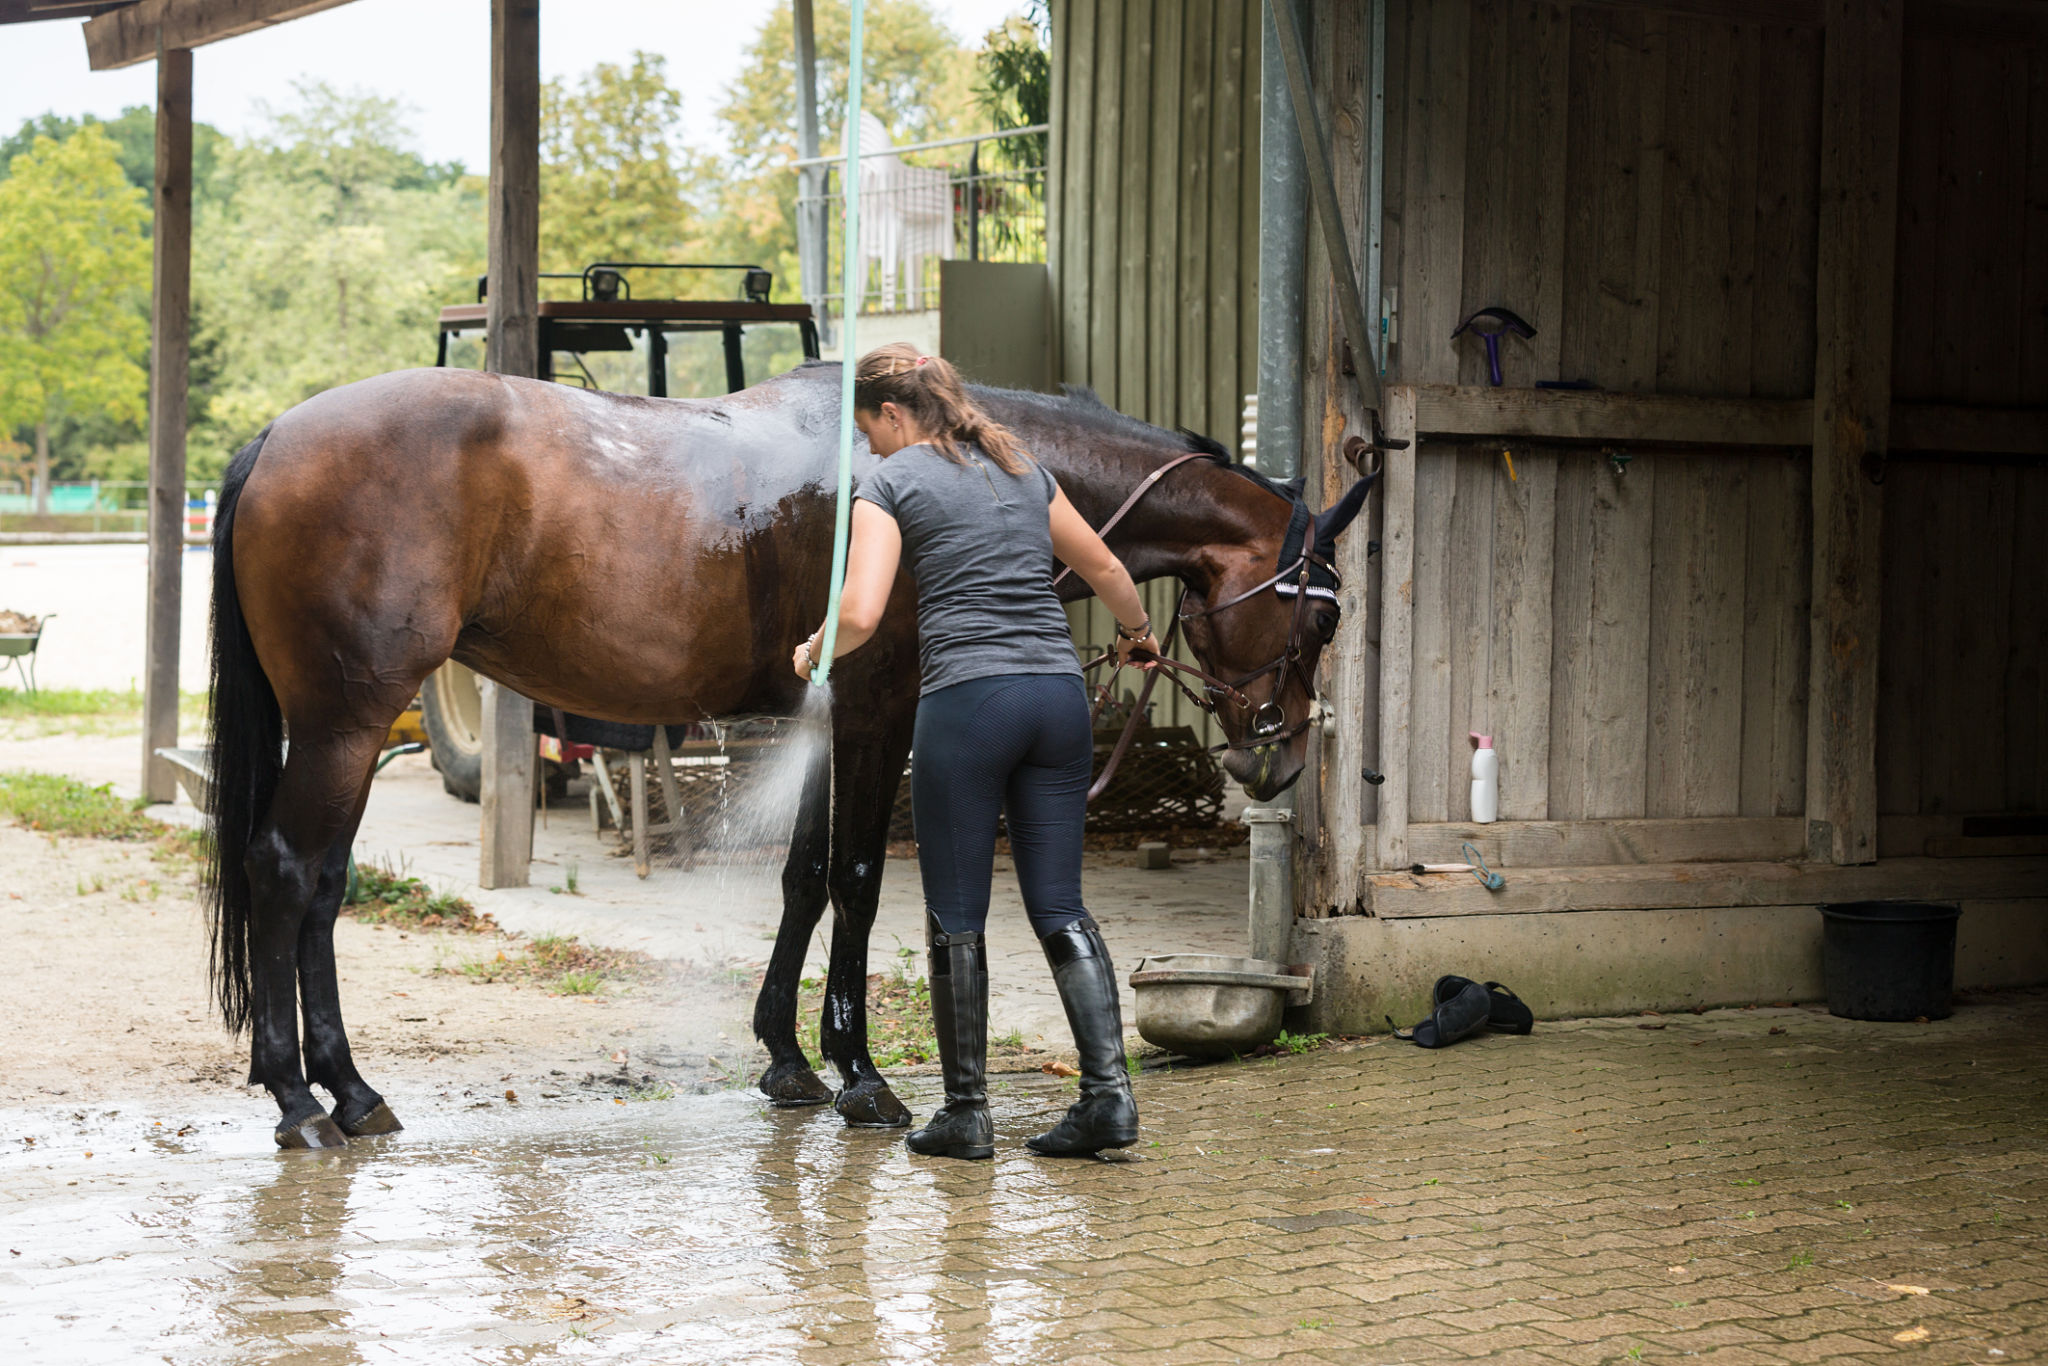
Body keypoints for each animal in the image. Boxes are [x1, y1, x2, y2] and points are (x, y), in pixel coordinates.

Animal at [204, 359, 1374, 1146]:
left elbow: (803, 878)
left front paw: (788, 1056)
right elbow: (856, 880)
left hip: (346, 732)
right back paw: (301, 1098)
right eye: (1319, 616)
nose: (1277, 762)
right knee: (288, 872)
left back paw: (352, 1091)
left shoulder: (818, 724)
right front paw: (859, 1071)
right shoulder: (876, 716)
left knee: (323, 887)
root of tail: (274, 438)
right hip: (347, 724)